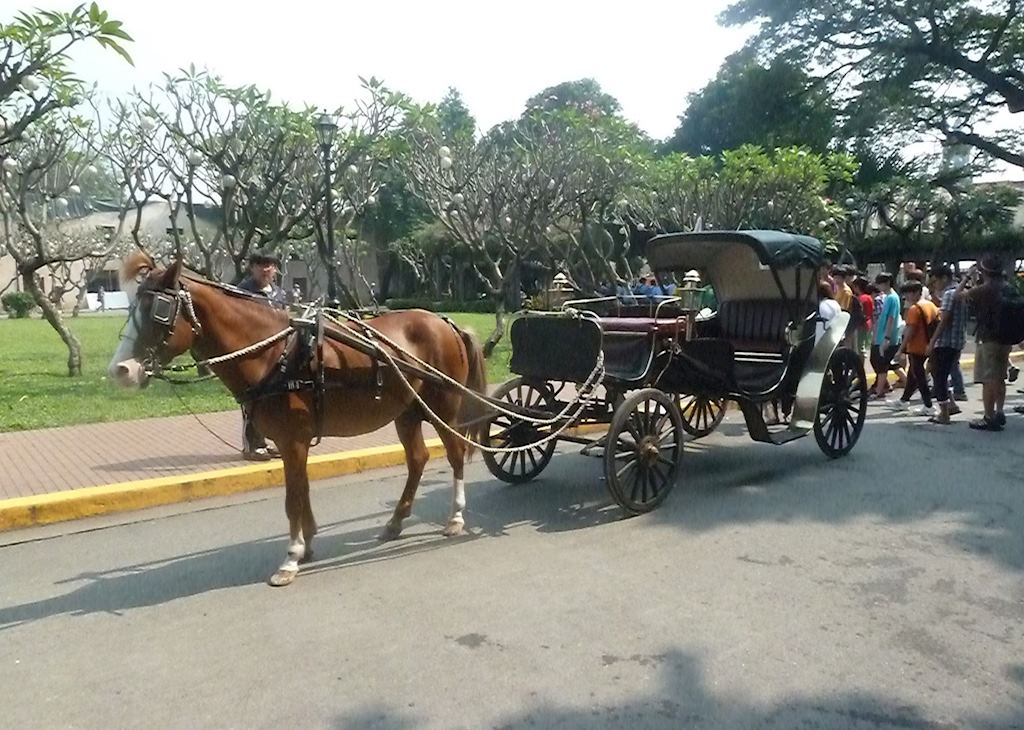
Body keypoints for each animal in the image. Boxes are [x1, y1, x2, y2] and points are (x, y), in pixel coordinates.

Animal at [108, 253, 487, 585]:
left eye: (159, 310)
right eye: (132, 307)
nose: (120, 370)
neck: (273, 354)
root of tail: (446, 323)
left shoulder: (292, 440)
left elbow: (292, 499)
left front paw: (291, 557)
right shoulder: (292, 441)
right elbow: (301, 490)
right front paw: (307, 544)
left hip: (443, 406)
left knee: (454, 453)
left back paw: (455, 517)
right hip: (407, 411)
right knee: (418, 459)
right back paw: (395, 522)